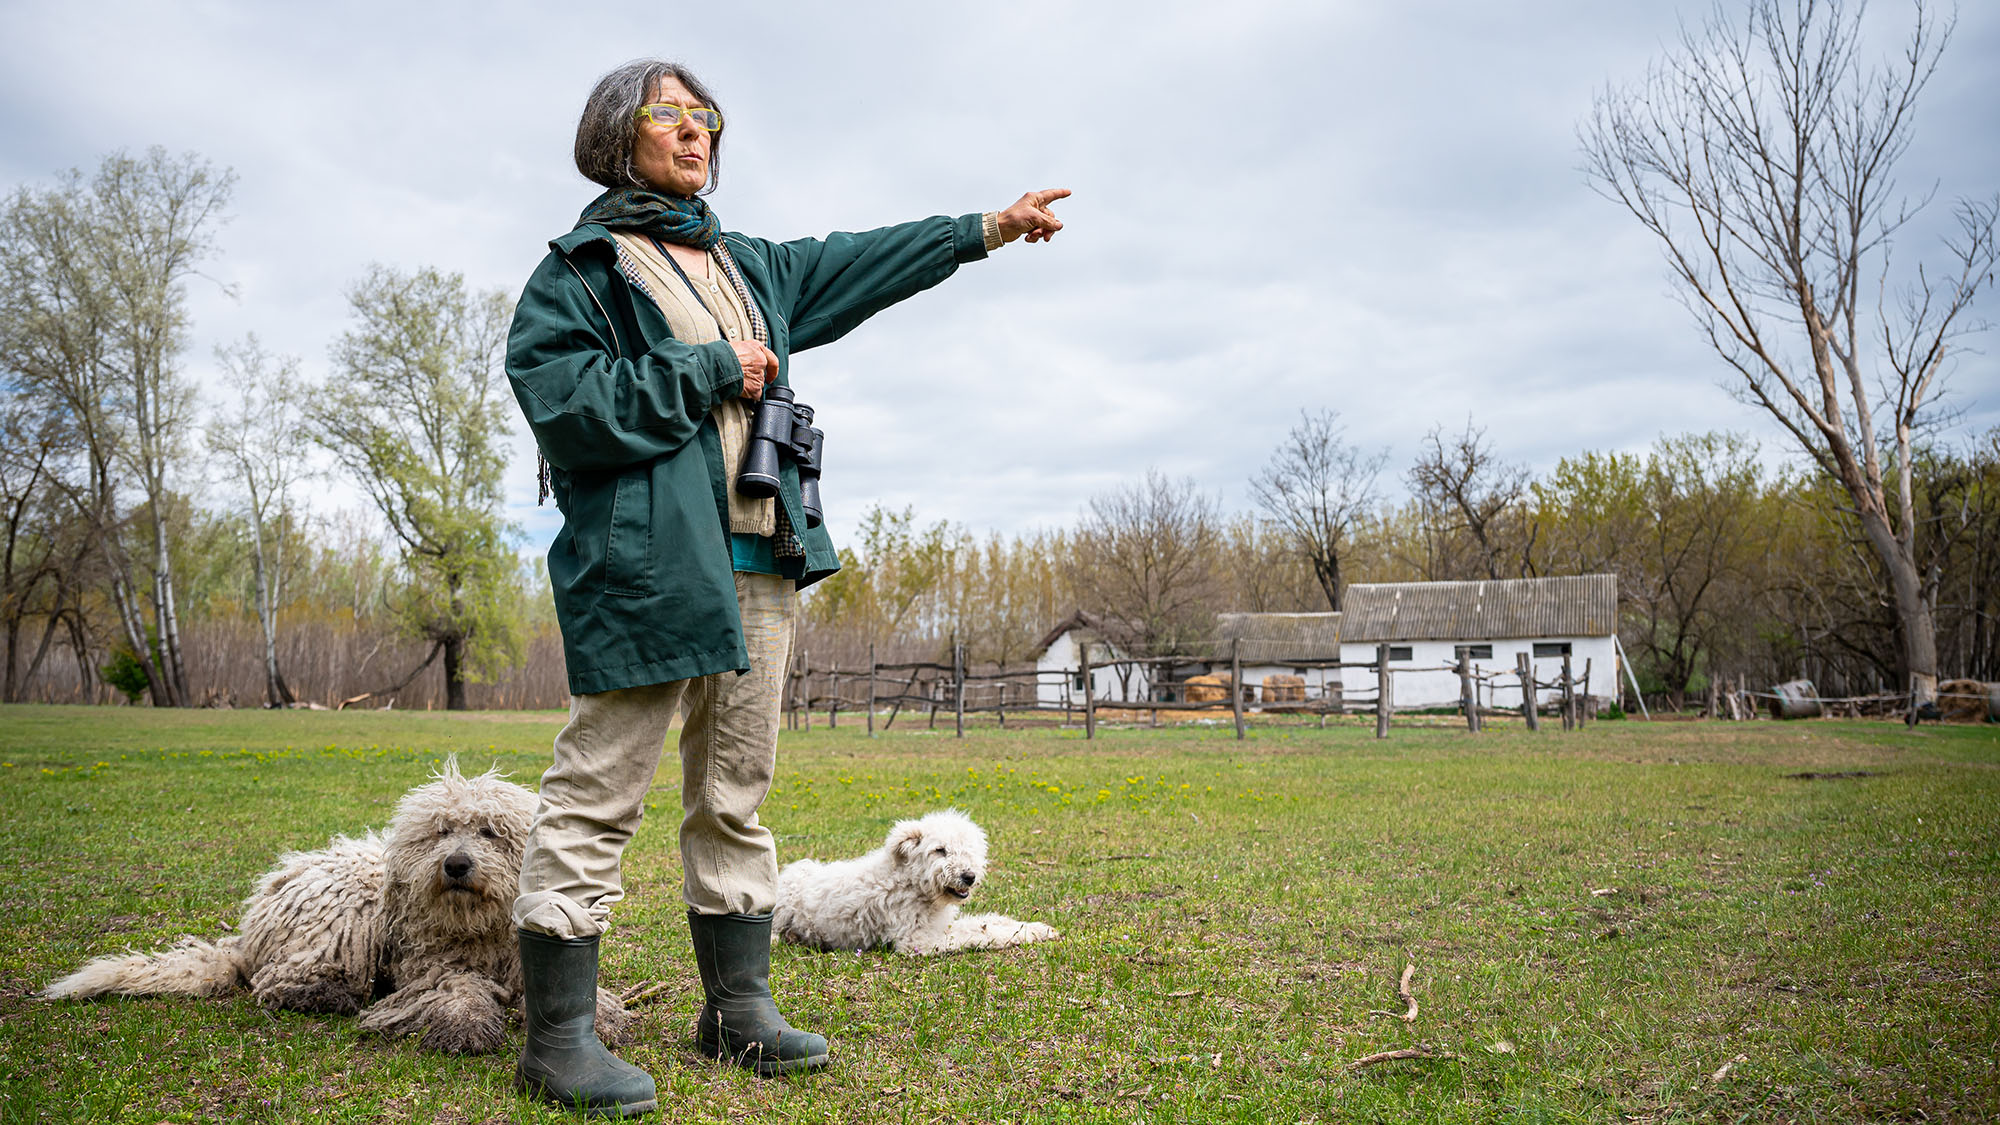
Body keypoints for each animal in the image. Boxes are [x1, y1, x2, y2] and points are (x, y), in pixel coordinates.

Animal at [772, 804, 1064, 952]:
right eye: (940, 850)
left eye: (969, 849)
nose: (968, 876)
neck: (912, 882)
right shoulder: (917, 939)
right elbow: (979, 933)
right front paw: (1023, 934)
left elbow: (985, 922)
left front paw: (1037, 928)